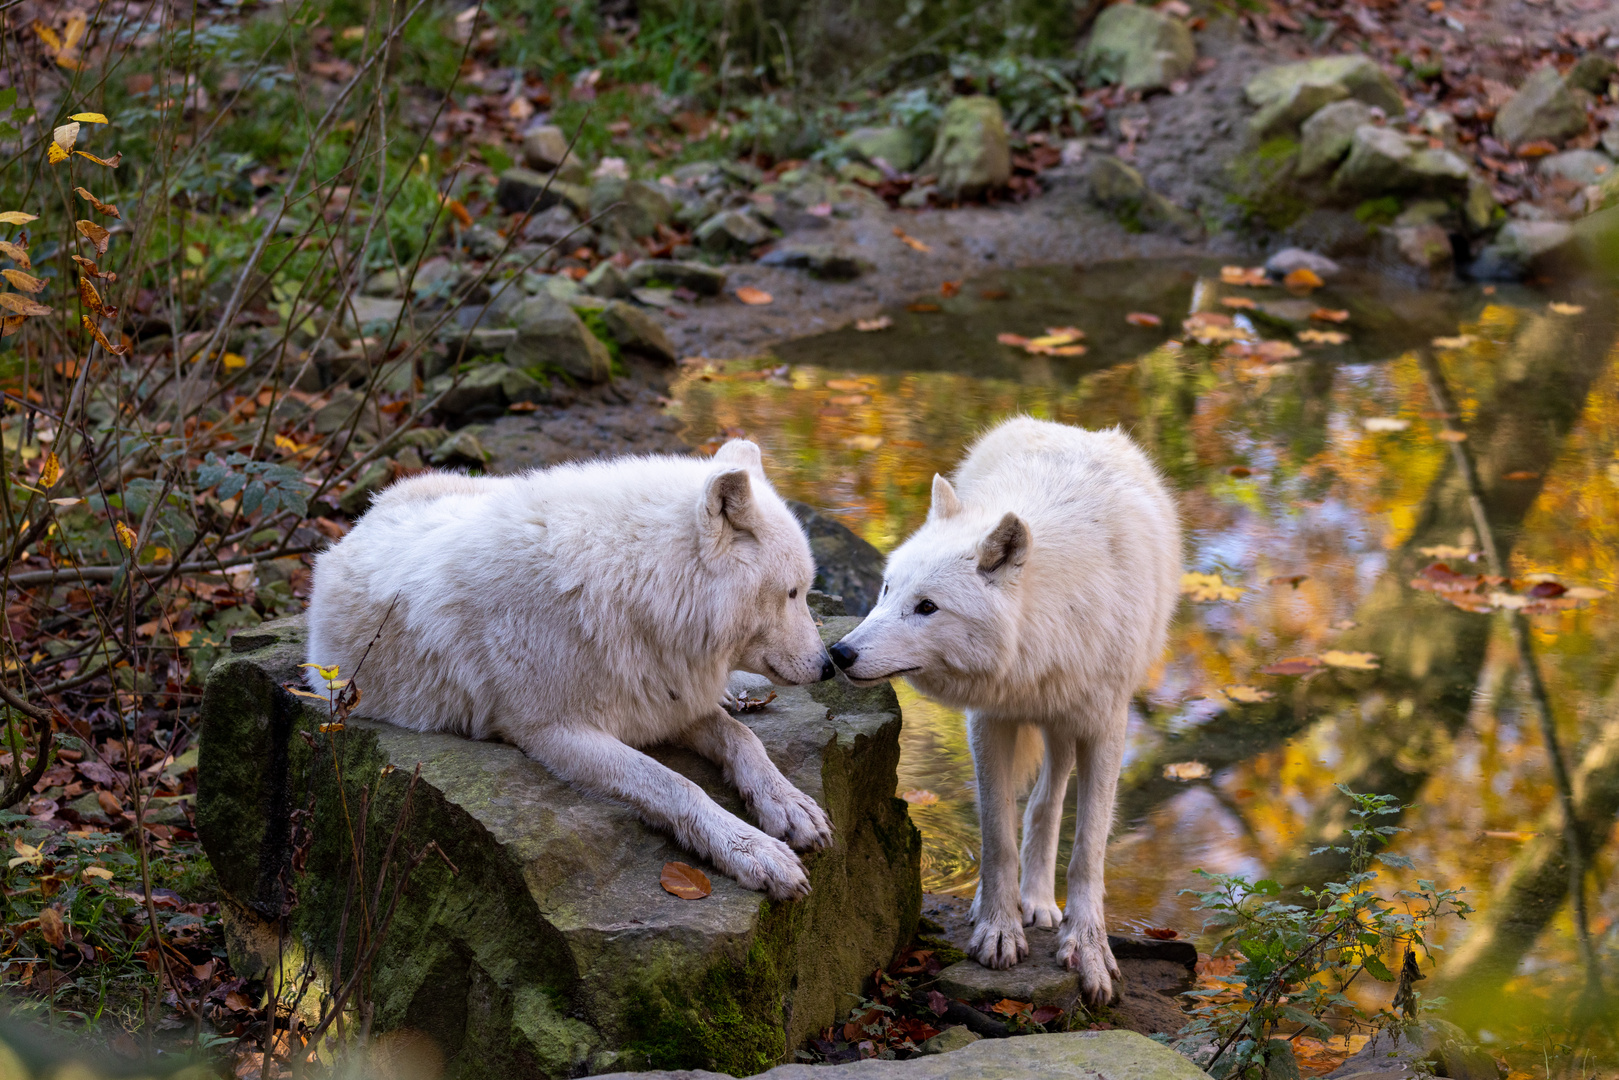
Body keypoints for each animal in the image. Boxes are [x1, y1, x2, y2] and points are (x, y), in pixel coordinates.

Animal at [304, 440, 835, 906]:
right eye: (792, 593)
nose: (830, 665)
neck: (631, 590)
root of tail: (371, 508)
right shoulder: (553, 731)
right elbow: (676, 784)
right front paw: (752, 851)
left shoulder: (663, 698)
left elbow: (743, 739)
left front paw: (788, 804)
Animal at [835, 417, 1178, 1010]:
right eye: (886, 589)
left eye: (927, 607)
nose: (840, 653)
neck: (1054, 616)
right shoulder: (989, 719)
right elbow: (996, 834)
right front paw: (998, 929)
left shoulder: (1107, 726)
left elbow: (1088, 850)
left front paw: (1088, 950)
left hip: (1068, 723)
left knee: (1047, 801)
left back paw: (1039, 900)